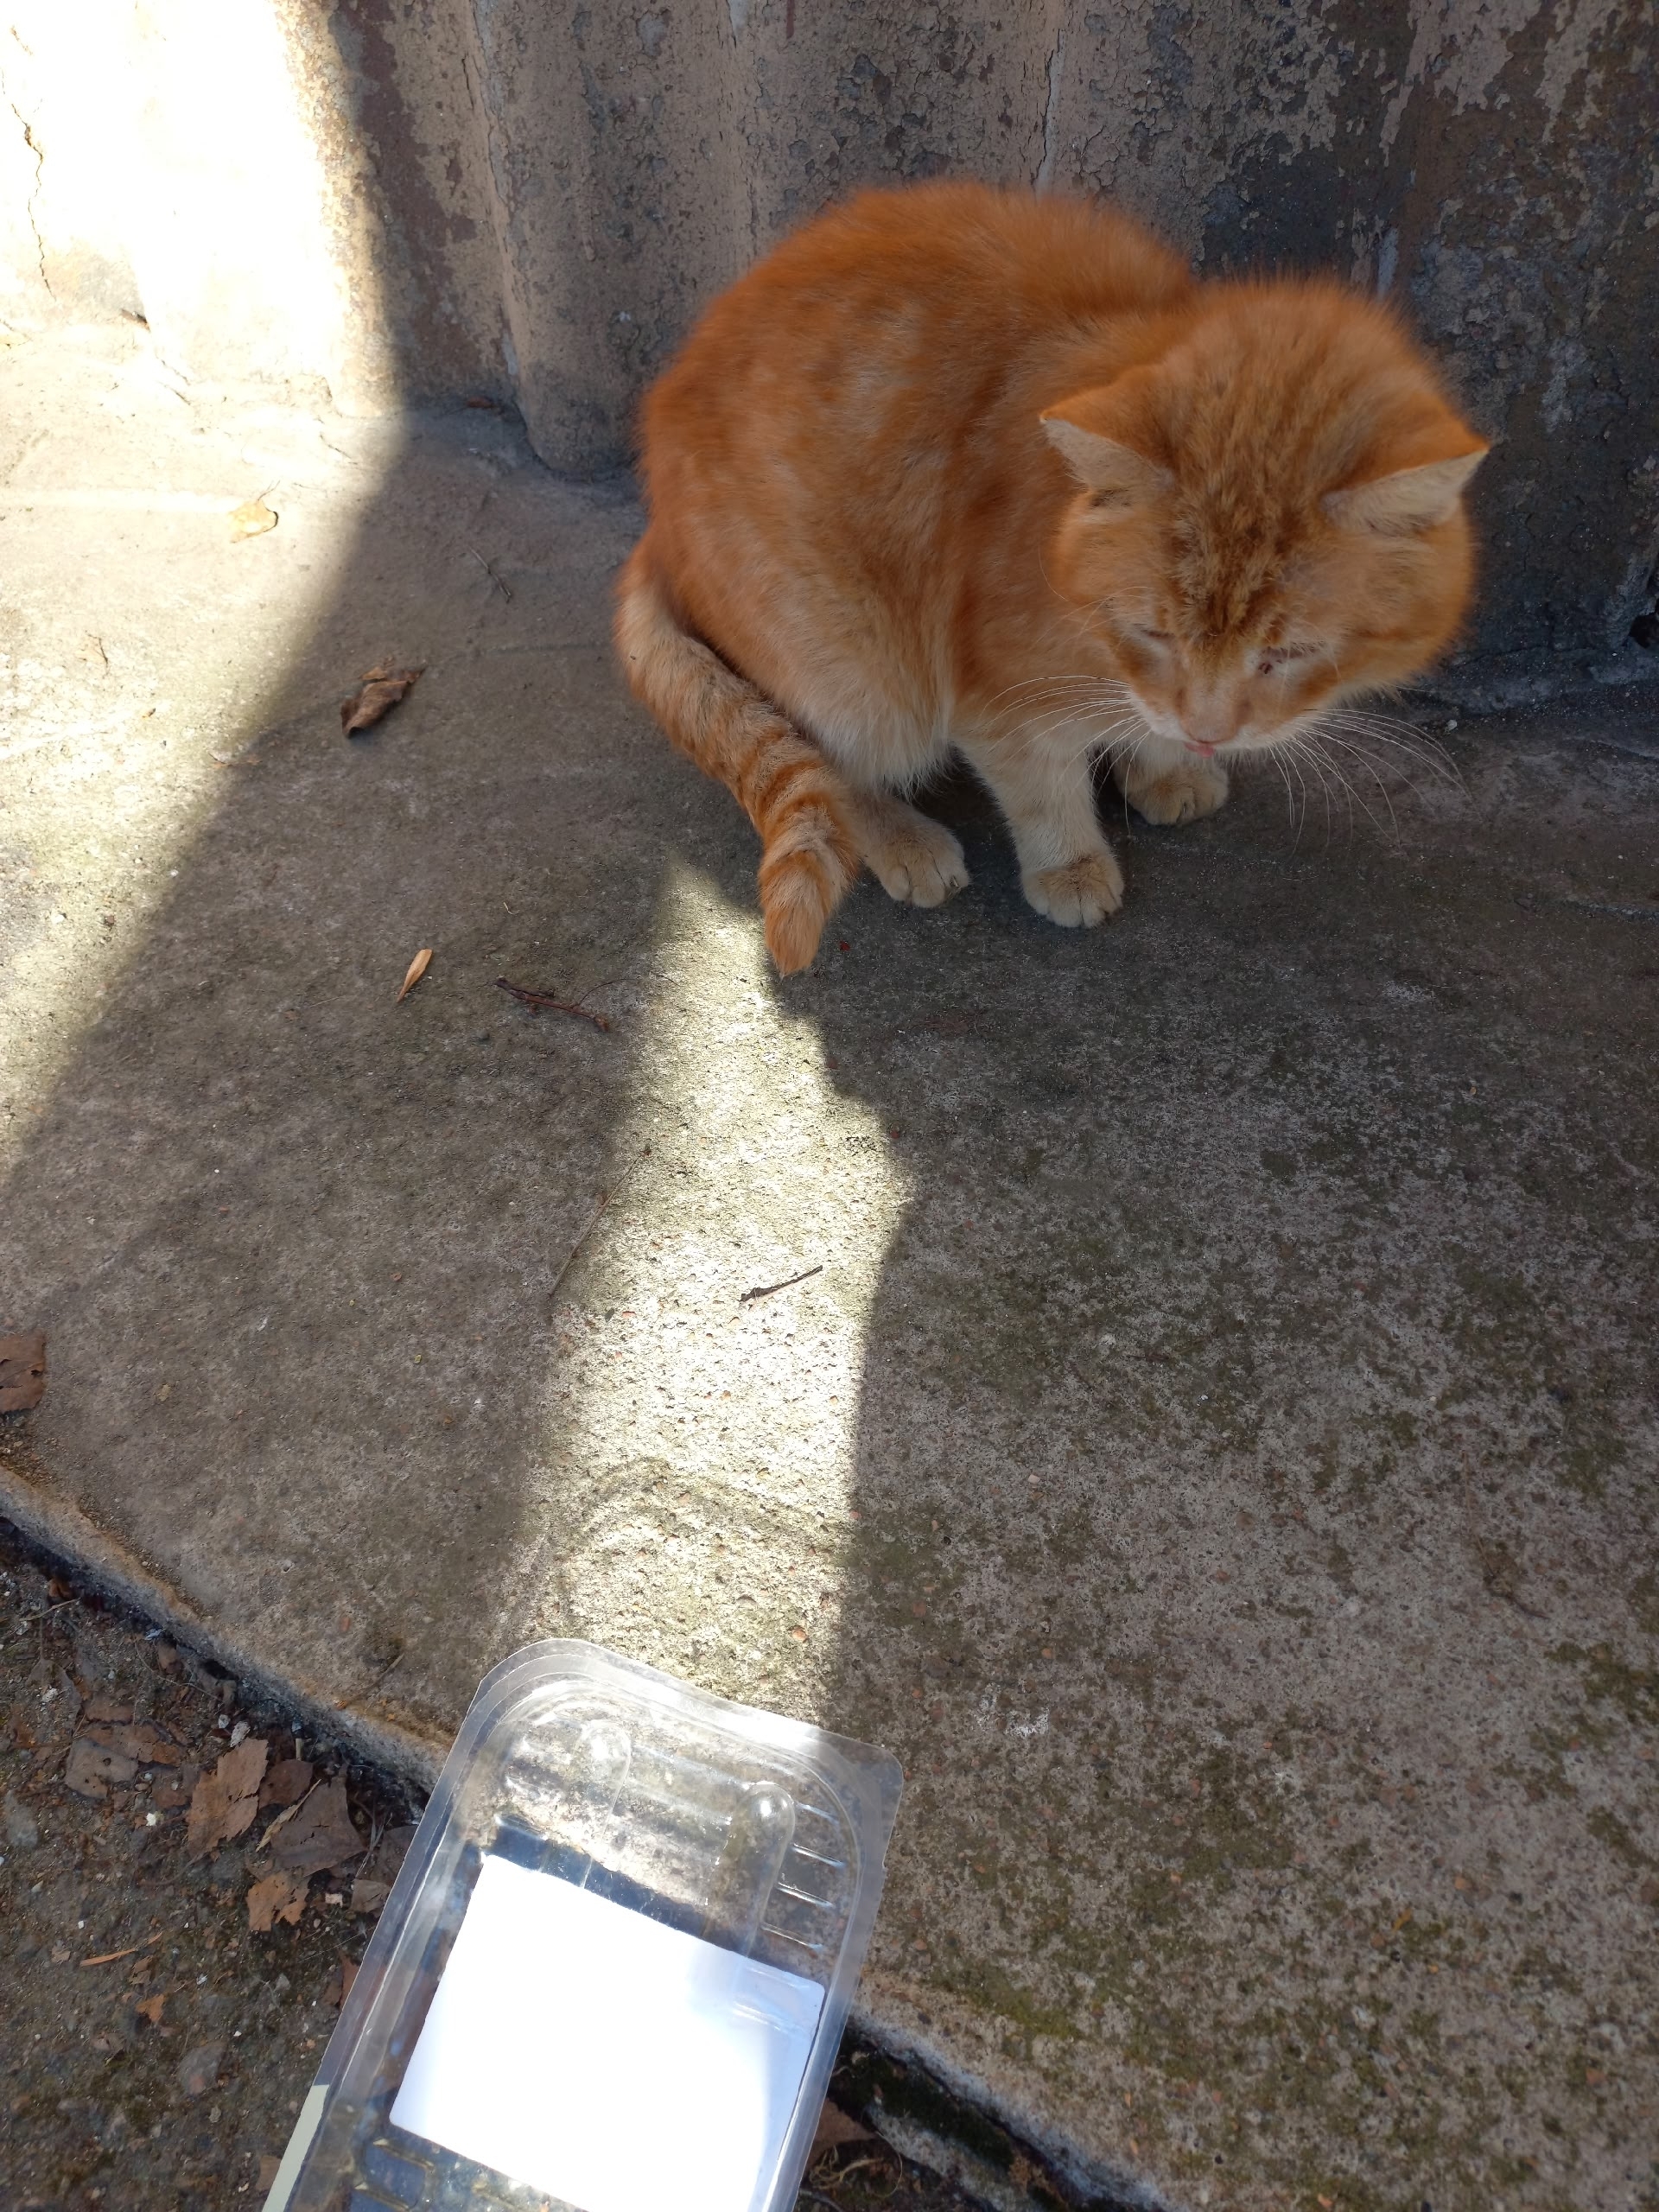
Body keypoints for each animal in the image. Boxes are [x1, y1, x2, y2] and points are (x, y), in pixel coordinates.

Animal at [615, 182, 1486, 974]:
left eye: (1287, 655)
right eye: (1155, 630)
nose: (1210, 732)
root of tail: (656, 524)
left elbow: (1141, 717)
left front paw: (1164, 761)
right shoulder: (995, 690)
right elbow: (1043, 778)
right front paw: (1070, 863)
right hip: (855, 667)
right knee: (832, 763)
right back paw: (902, 835)